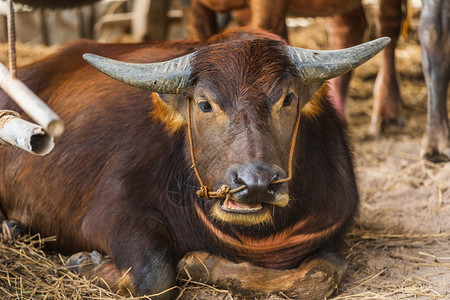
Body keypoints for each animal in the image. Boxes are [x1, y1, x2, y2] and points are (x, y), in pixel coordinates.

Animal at [0, 27, 386, 298]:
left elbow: (319, 275)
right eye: (204, 104)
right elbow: (154, 276)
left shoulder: (331, 229)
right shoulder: (109, 212)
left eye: (288, 99)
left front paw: (201, 263)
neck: (252, 238)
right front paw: (84, 262)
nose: (256, 184)